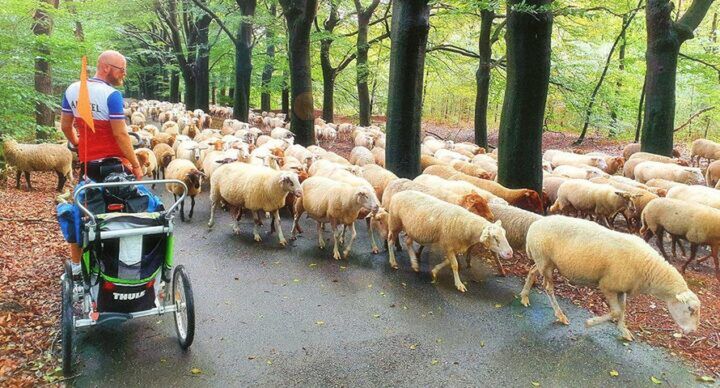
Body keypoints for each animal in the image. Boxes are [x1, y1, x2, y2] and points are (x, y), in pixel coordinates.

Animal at [520, 215, 700, 340]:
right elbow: (616, 312)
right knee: (548, 288)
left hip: (544, 262)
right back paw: (560, 315)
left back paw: (524, 296)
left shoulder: (622, 289)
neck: (650, 269)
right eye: (690, 310)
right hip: (545, 261)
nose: (692, 331)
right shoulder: (608, 286)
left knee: (532, 270)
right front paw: (590, 323)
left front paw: (624, 330)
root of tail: (534, 225)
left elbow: (623, 310)